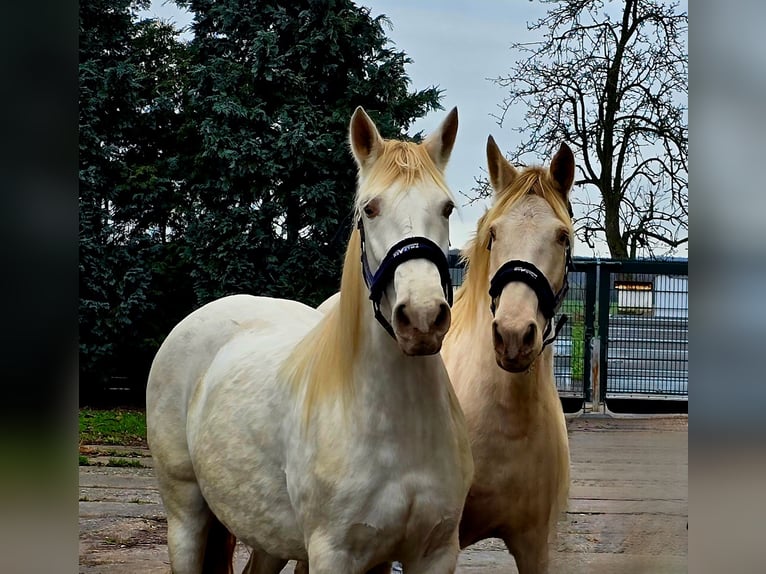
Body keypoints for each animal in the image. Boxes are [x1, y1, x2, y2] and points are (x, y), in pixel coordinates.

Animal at [146, 108, 474, 574]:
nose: (422, 317)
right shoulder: (333, 554)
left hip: (268, 533)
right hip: (185, 515)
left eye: (445, 208)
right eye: (370, 209)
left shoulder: (434, 553)